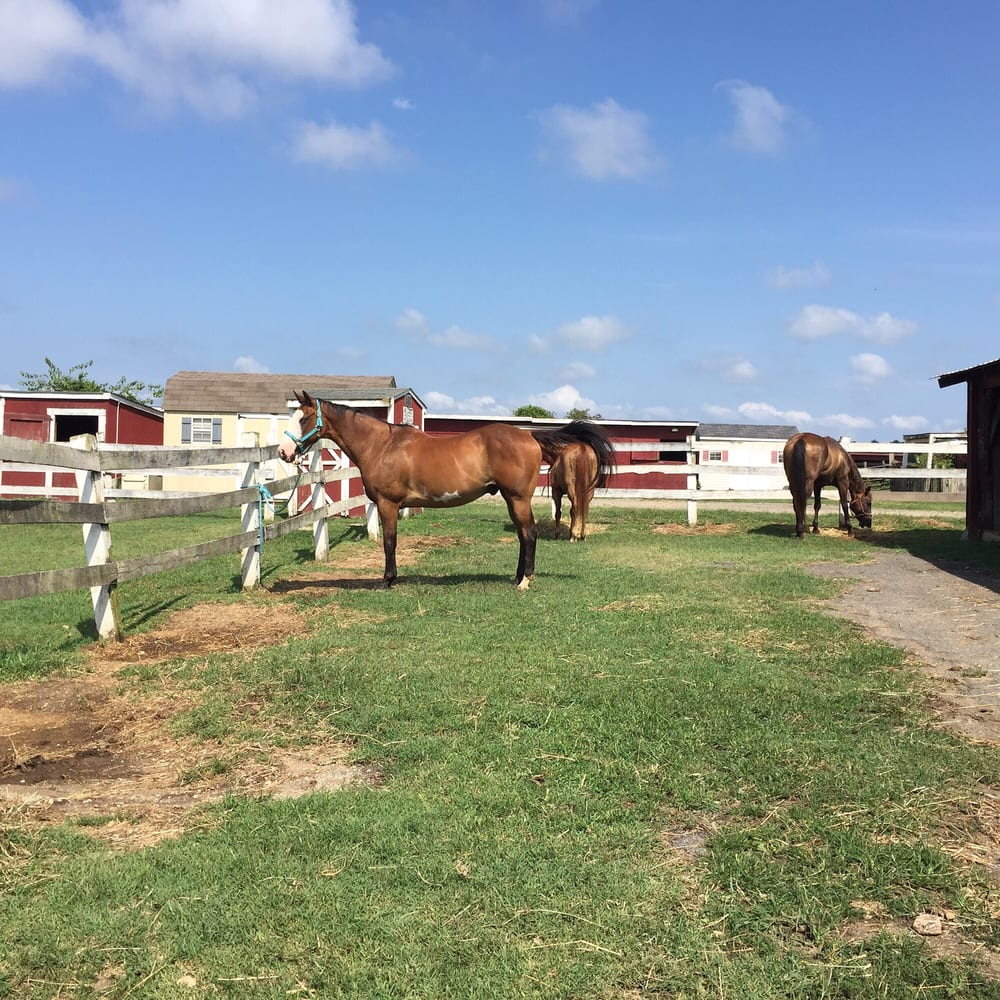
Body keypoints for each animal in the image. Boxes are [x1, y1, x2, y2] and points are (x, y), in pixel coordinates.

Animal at [277, 391, 616, 589]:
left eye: (304, 418)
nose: (283, 452)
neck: (382, 445)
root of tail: (529, 436)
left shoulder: (388, 504)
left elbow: (389, 542)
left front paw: (388, 580)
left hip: (518, 498)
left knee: (529, 533)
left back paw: (524, 582)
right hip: (511, 499)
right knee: (523, 535)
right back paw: (517, 577)